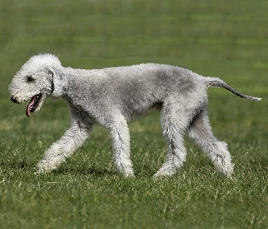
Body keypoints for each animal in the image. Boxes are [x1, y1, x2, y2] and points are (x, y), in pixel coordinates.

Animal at [8, 54, 262, 177]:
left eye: (30, 78)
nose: (12, 98)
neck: (76, 85)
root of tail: (202, 79)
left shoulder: (113, 118)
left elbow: (121, 146)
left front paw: (127, 175)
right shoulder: (81, 125)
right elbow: (61, 147)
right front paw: (43, 169)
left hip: (174, 114)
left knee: (179, 151)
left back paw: (161, 176)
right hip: (194, 117)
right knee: (218, 146)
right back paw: (228, 175)